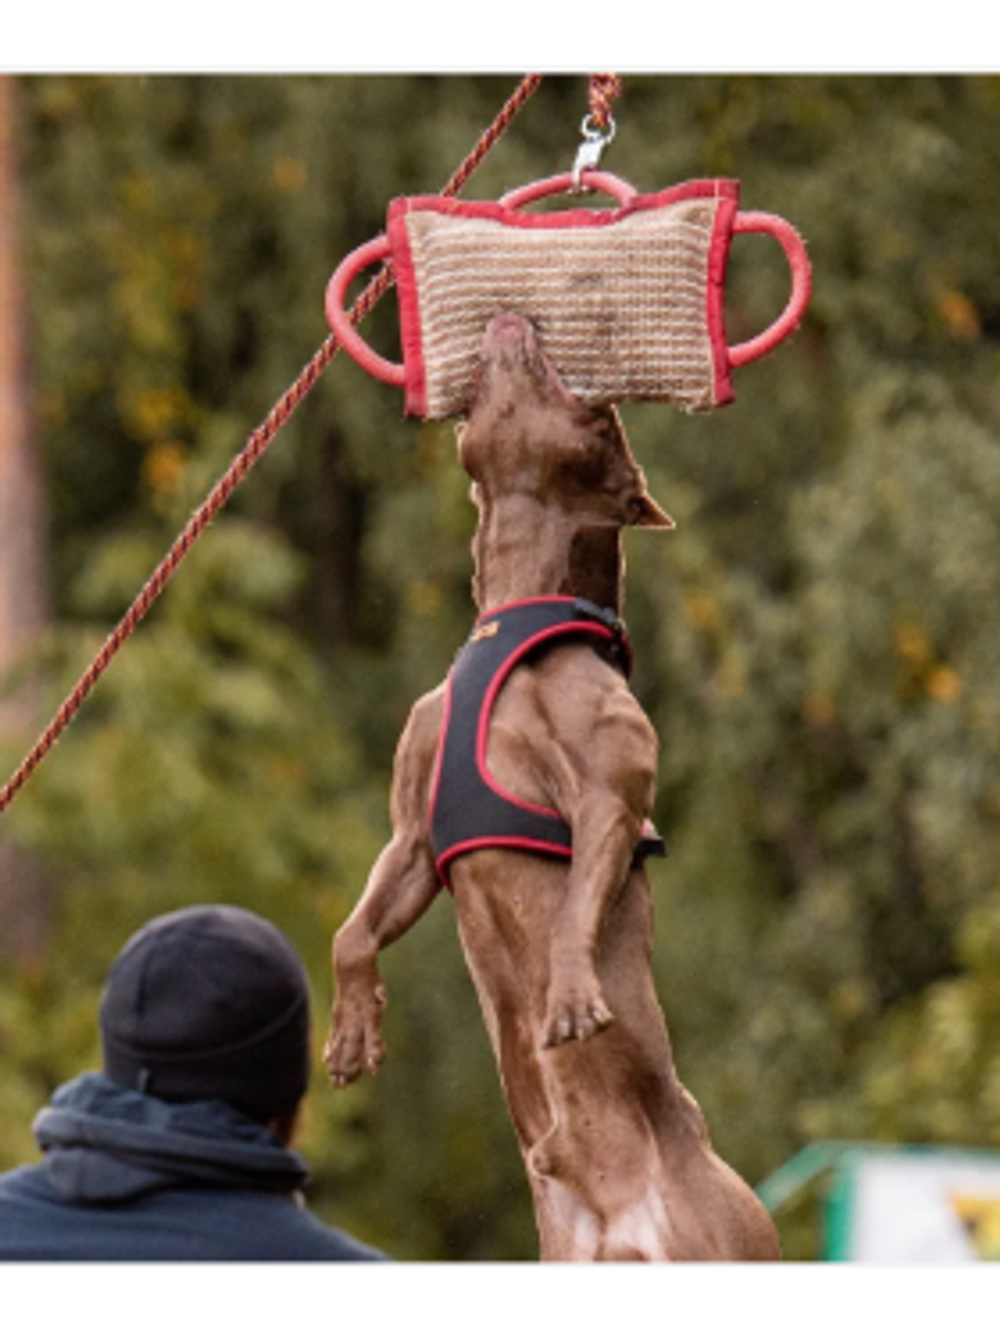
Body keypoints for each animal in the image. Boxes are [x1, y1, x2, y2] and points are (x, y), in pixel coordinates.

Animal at [326, 309, 782, 1257]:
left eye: (603, 420)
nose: (514, 319)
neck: (517, 613)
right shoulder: (411, 840)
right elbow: (353, 932)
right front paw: (352, 1032)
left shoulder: (608, 798)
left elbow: (577, 909)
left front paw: (571, 996)